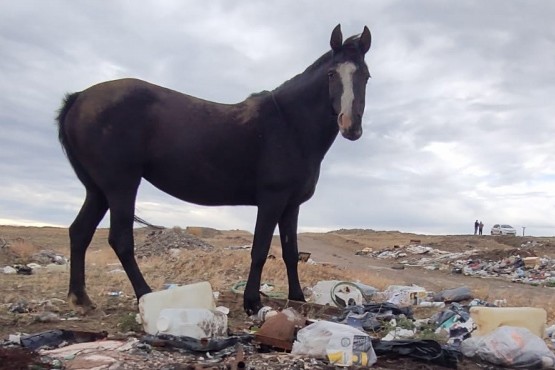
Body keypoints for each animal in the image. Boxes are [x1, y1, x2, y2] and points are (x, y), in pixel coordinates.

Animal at [56, 24, 372, 314]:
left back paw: (80, 298)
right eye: (331, 74)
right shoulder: (271, 200)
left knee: (79, 233)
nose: (351, 126)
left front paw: (297, 299)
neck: (289, 124)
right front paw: (252, 302)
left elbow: (291, 253)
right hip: (121, 185)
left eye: (366, 76)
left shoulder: (290, 205)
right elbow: (260, 250)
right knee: (120, 240)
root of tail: (79, 98)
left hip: (98, 190)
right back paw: (146, 296)